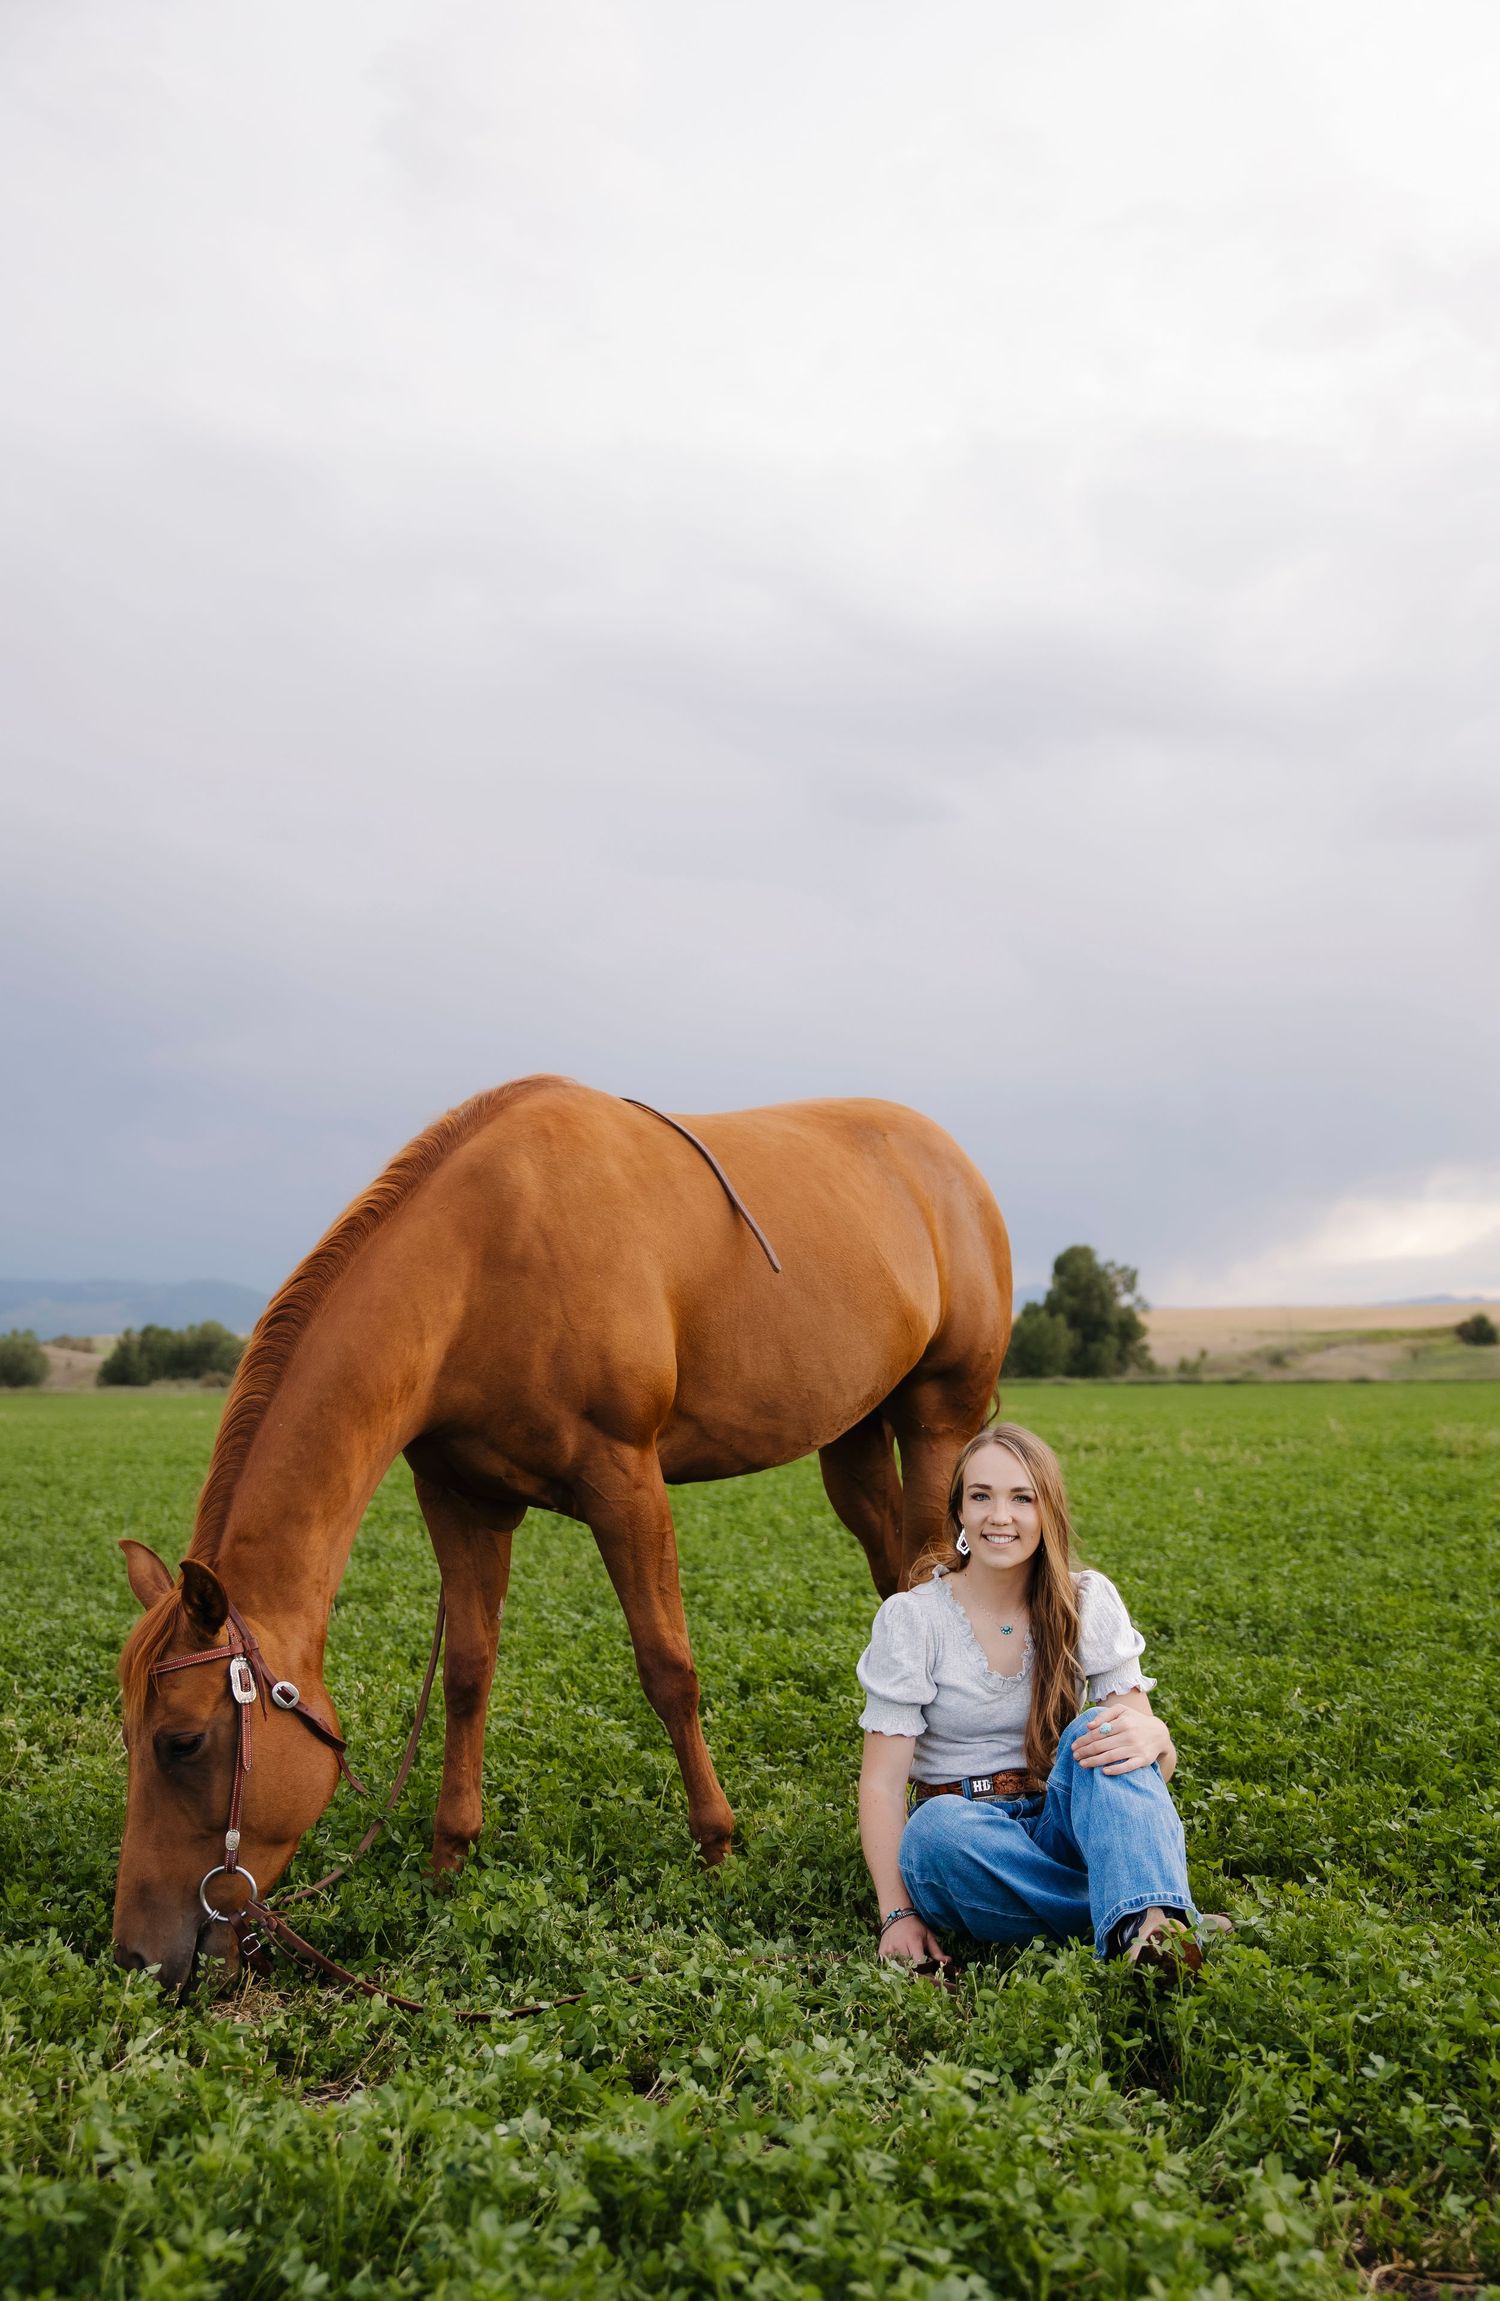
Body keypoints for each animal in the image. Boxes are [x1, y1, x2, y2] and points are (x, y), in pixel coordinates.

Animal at [114, 1077, 1012, 1984]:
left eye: (181, 1741)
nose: (135, 1955)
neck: (480, 1266)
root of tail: (951, 1163)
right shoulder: (459, 1498)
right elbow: (467, 1673)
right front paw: (449, 1854)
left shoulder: (626, 1483)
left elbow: (667, 1667)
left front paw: (717, 1844)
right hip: (853, 1435)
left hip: (938, 1419)